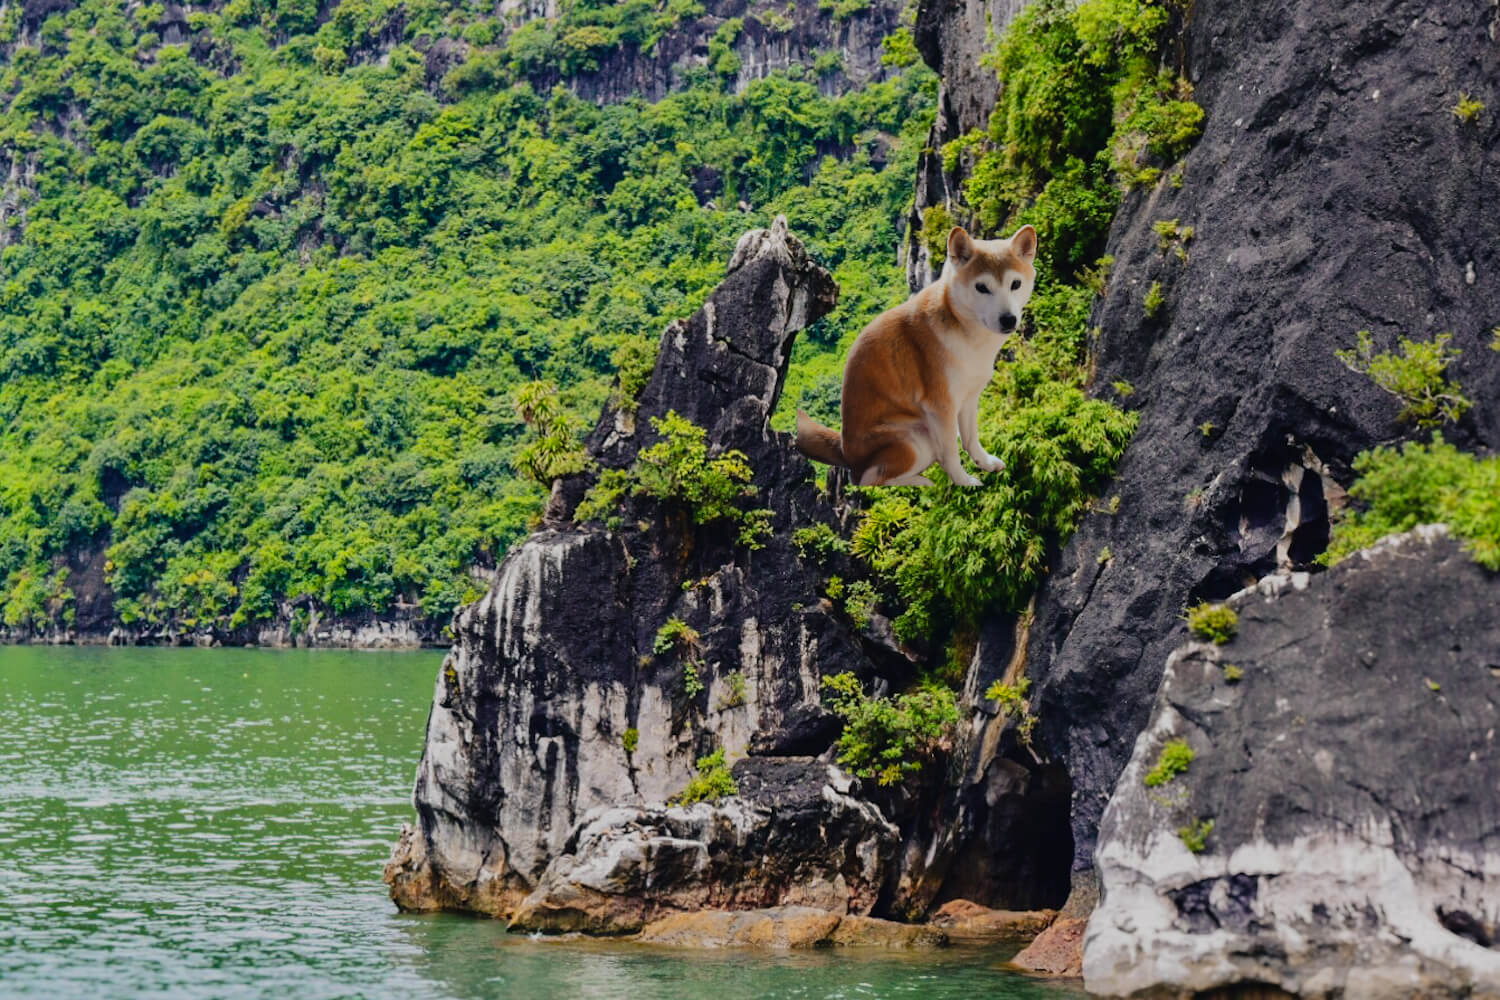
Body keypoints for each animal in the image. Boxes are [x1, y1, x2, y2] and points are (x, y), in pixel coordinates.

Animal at [792, 223, 1038, 488]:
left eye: (1015, 284)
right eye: (982, 287)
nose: (1009, 319)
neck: (965, 332)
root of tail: (844, 450)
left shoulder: (970, 396)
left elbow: (971, 438)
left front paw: (985, 463)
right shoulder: (941, 407)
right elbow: (951, 452)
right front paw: (964, 482)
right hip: (916, 439)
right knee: (868, 479)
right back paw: (921, 481)